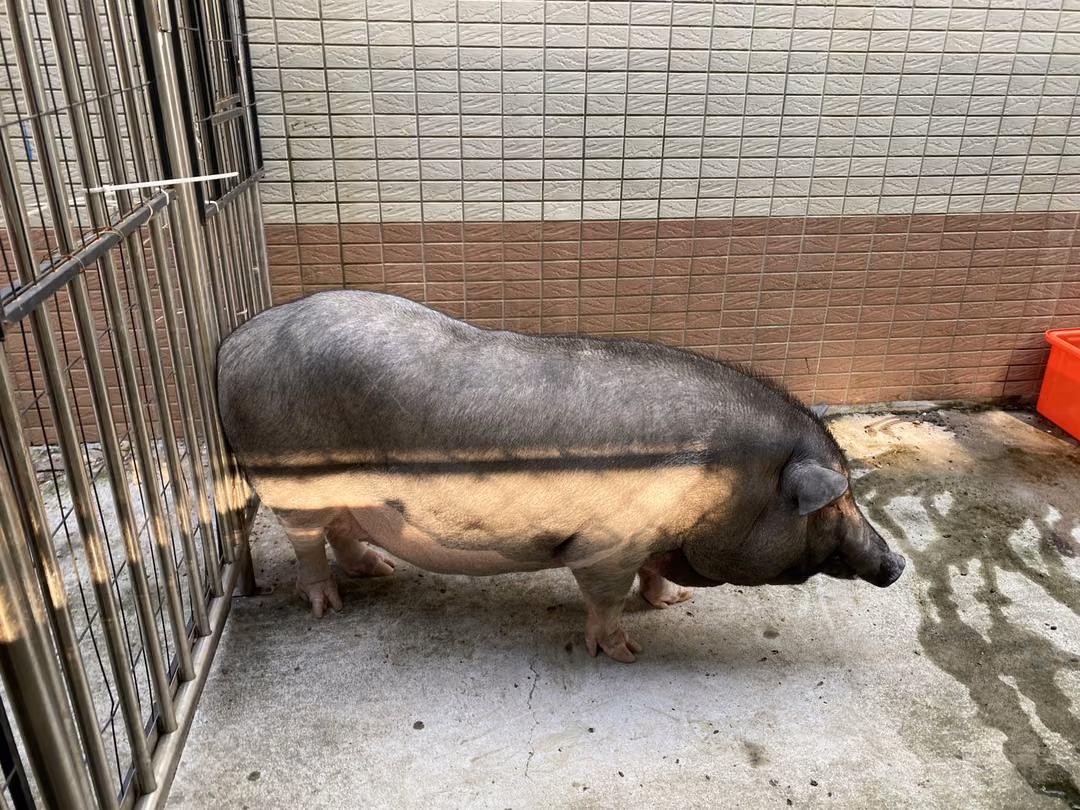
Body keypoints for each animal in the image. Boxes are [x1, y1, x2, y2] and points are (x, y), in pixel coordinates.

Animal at [216, 290, 905, 662]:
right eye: (833, 503)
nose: (896, 563)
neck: (728, 480)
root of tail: (236, 341)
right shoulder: (607, 544)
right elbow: (604, 597)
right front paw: (627, 653)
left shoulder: (648, 536)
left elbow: (652, 577)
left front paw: (673, 603)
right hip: (290, 485)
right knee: (308, 543)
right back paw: (327, 608)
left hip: (343, 491)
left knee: (343, 529)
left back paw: (379, 572)